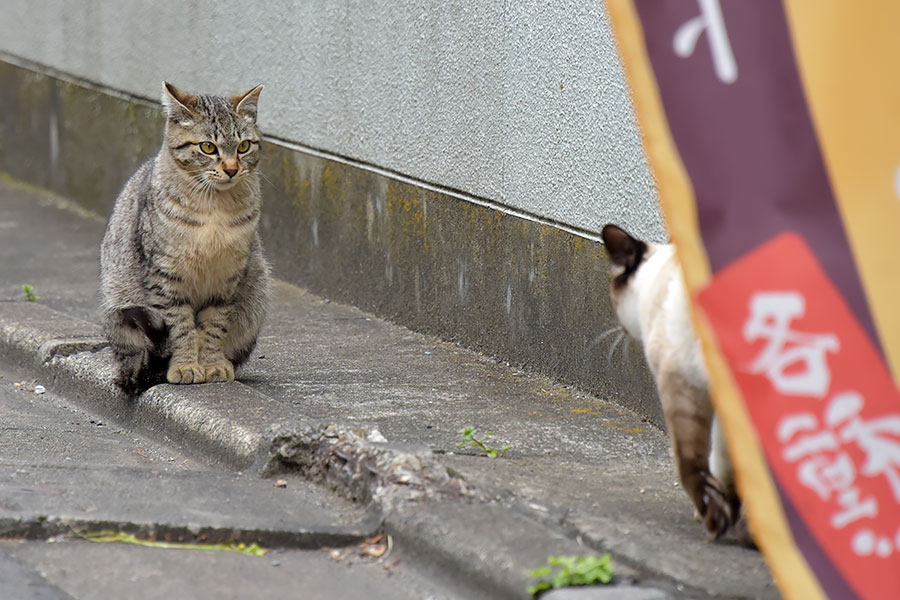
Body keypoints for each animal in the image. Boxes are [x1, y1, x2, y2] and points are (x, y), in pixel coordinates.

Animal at [99, 82, 268, 396]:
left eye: (243, 146)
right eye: (208, 147)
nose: (231, 169)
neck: (215, 209)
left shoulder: (227, 278)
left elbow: (214, 326)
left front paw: (212, 364)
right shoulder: (166, 277)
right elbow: (180, 328)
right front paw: (186, 365)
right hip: (119, 306)